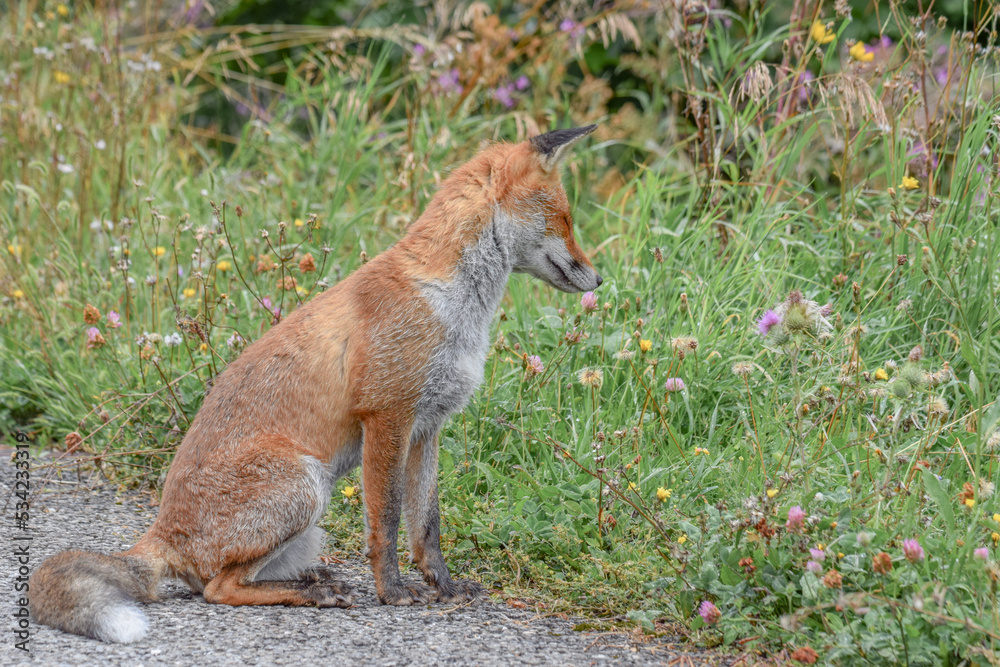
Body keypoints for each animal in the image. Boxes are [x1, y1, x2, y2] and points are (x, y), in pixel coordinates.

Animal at [29, 125, 602, 643]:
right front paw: (394, 592)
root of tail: (159, 533)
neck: (450, 305)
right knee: (217, 588)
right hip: (305, 485)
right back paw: (315, 592)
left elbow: (427, 525)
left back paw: (313, 578)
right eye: (566, 218)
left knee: (226, 579)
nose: (600, 279)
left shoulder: (428, 427)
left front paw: (443, 585)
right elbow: (386, 522)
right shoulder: (387, 416)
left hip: (307, 516)